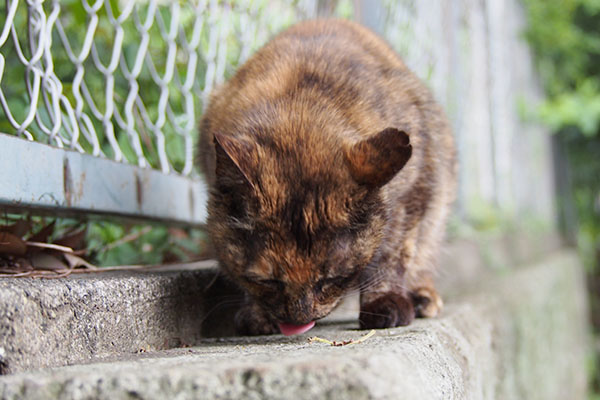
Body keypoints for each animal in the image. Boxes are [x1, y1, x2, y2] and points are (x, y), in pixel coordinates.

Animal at [199, 19, 458, 338]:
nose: (298, 318)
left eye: (333, 278)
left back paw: (422, 296)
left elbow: (392, 251)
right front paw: (256, 314)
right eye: (267, 281)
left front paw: (384, 302)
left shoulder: (414, 190)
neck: (299, 112)